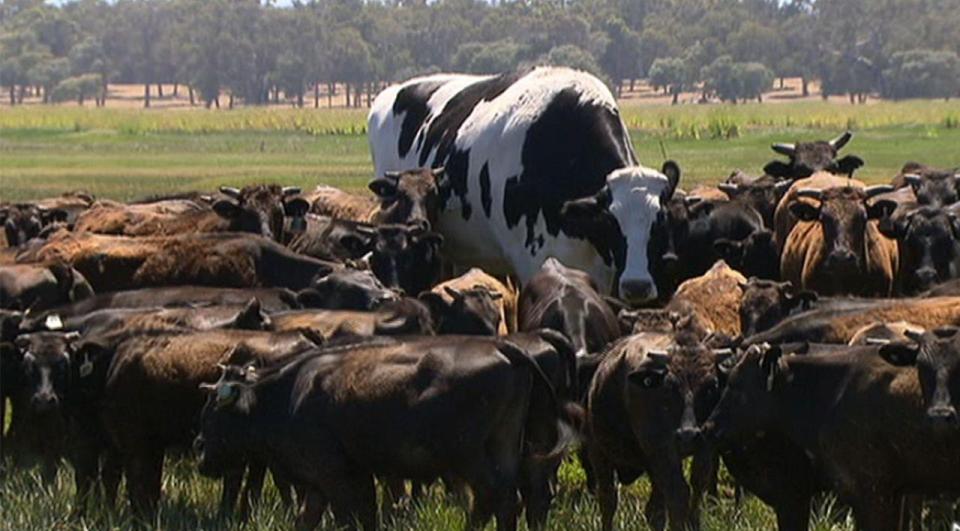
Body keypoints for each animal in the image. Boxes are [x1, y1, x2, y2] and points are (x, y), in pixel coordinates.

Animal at [193, 336, 576, 531]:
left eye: (213, 408)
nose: (199, 449)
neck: (289, 392)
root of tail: (505, 348)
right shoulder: (334, 480)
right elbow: (333, 517)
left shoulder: (332, 475)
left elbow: (347, 518)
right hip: (506, 447)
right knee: (516, 498)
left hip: (468, 456)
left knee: (493, 498)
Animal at [370, 67, 684, 304]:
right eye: (610, 220)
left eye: (660, 220)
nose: (637, 285)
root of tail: (393, 90)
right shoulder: (532, 263)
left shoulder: (605, 271)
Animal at [584, 334, 736, 528]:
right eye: (670, 386)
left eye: (711, 387)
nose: (688, 435)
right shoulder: (661, 451)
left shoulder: (703, 445)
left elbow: (697, 482)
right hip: (605, 454)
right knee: (610, 500)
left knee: (664, 501)